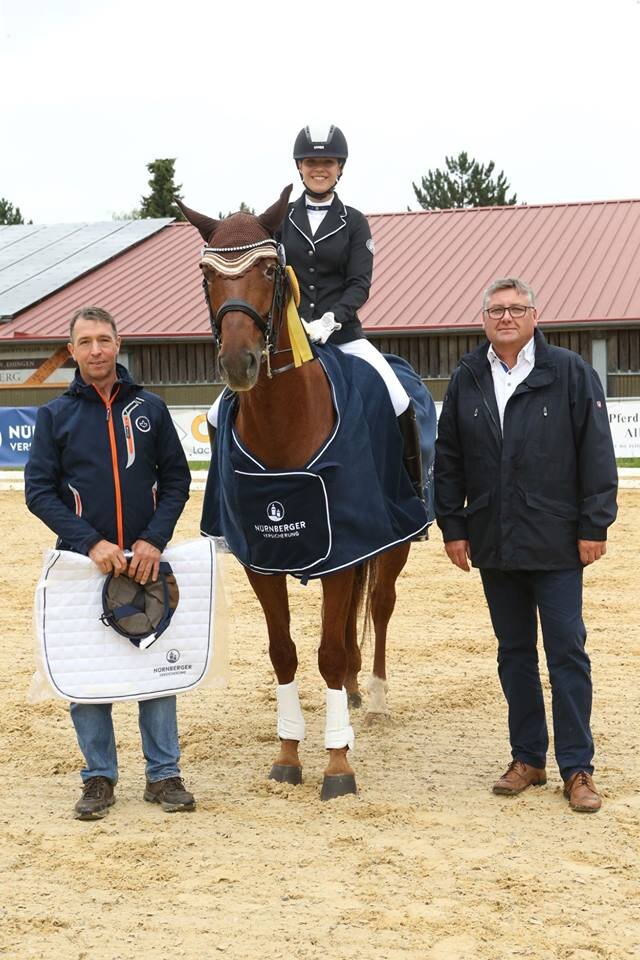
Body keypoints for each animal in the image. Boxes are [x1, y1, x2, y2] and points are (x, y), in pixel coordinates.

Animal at [178, 186, 428, 800]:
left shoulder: (346, 548)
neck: (284, 424)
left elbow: (330, 652)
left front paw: (338, 765)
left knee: (379, 606)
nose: (239, 363)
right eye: (206, 274)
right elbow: (285, 653)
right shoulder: (262, 559)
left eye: (270, 270)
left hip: (393, 540)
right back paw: (357, 693)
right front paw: (289, 753)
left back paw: (375, 699)